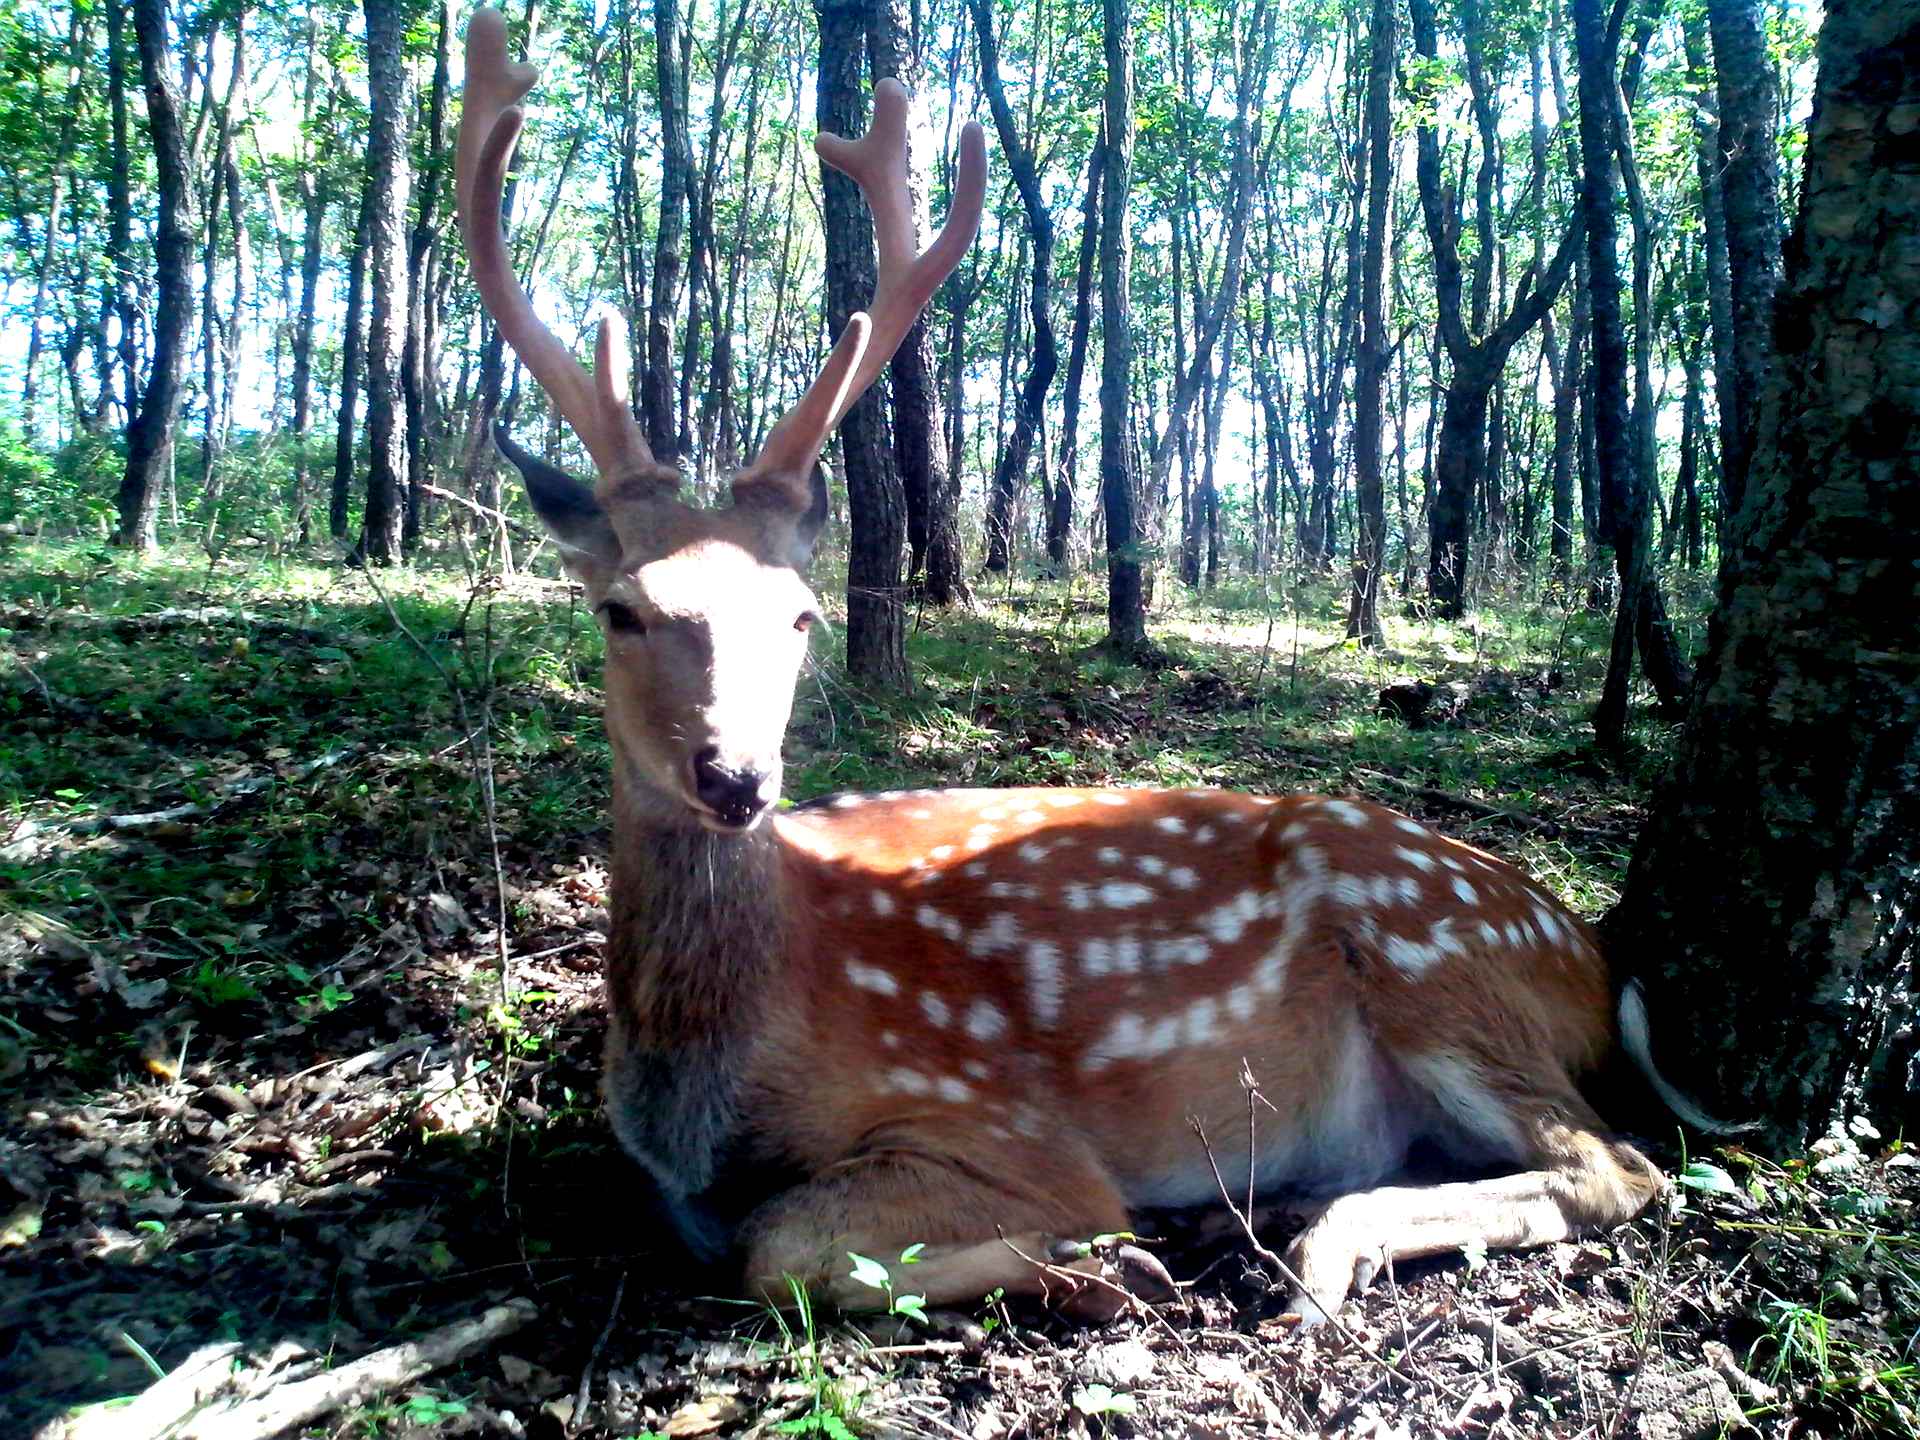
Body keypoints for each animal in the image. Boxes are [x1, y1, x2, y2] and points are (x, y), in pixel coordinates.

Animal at [460, 5, 1728, 1328]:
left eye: (802, 616)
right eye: (619, 610)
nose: (735, 776)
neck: (711, 1081)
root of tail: (1589, 948)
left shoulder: (1003, 1123)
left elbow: (784, 1248)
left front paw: (1107, 1262)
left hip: (1430, 949)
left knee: (1617, 1164)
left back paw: (1312, 1248)